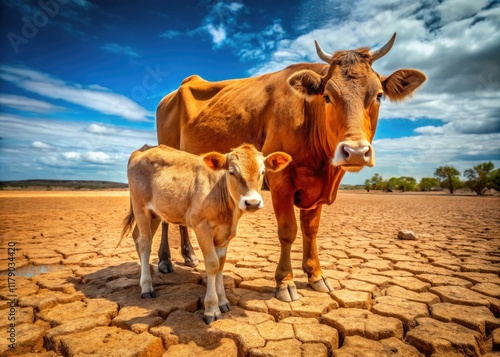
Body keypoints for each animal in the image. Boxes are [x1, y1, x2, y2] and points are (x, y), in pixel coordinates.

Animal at [121, 143, 292, 322]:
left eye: (263, 172)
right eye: (232, 172)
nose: (252, 202)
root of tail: (141, 151)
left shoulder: (225, 235)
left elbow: (221, 264)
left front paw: (223, 301)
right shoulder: (201, 228)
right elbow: (212, 264)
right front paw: (211, 308)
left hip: (154, 213)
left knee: (137, 237)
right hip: (140, 207)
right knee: (145, 243)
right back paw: (146, 286)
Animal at [156, 32, 426, 300]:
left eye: (379, 95)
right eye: (327, 96)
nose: (356, 152)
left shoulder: (317, 189)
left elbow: (311, 229)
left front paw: (316, 275)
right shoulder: (281, 181)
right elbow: (288, 230)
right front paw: (285, 281)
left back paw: (189, 255)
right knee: (164, 217)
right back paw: (165, 261)